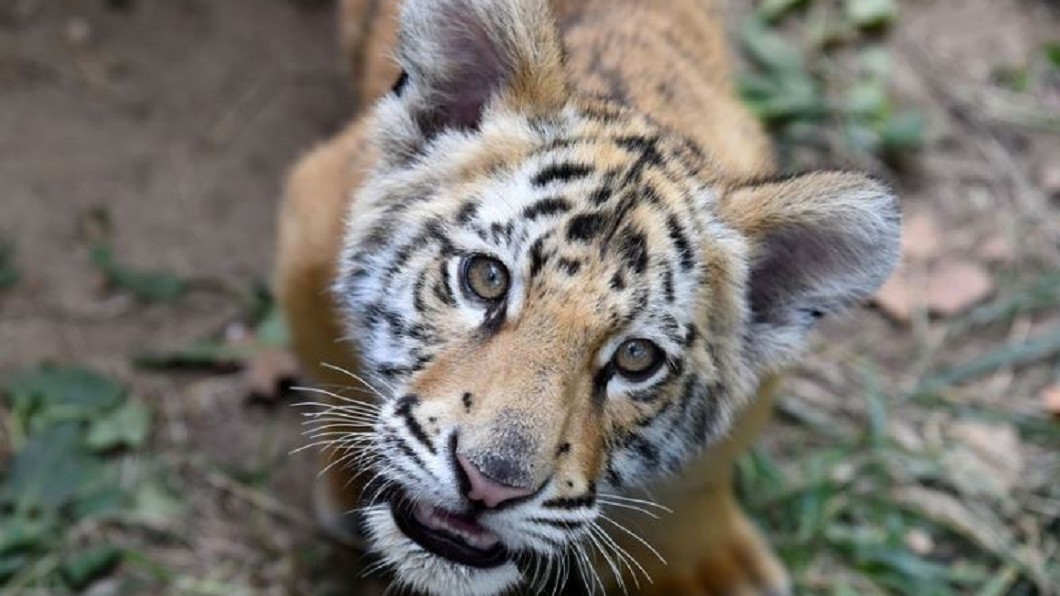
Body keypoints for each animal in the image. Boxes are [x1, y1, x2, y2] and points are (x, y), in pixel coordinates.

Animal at [274, 0, 901, 594]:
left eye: (636, 357)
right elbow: (334, 381)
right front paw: (352, 486)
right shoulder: (310, 225)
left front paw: (707, 568)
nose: (488, 485)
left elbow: (696, 480)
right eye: (486, 278)